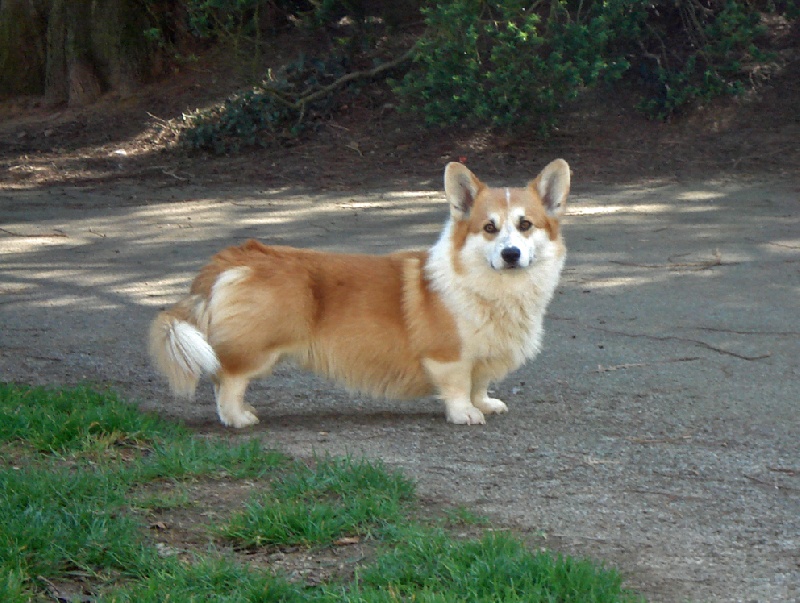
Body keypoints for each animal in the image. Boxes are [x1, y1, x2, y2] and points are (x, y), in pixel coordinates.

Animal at [149, 159, 570, 427]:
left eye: (526, 225)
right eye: (489, 228)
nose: (511, 254)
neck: (493, 287)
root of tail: (236, 255)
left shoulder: (483, 357)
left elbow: (479, 383)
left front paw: (485, 403)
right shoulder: (448, 355)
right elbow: (457, 386)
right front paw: (465, 413)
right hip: (258, 347)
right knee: (228, 379)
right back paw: (239, 418)